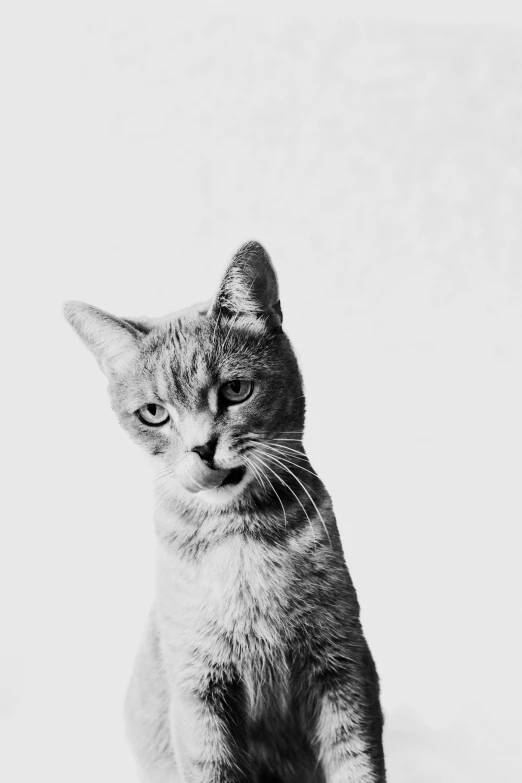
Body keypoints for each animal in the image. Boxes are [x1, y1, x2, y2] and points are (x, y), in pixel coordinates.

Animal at [63, 243, 384, 783]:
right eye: (154, 413)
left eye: (235, 391)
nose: (202, 448)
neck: (240, 535)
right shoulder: (198, 691)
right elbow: (211, 763)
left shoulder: (342, 667)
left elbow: (356, 762)